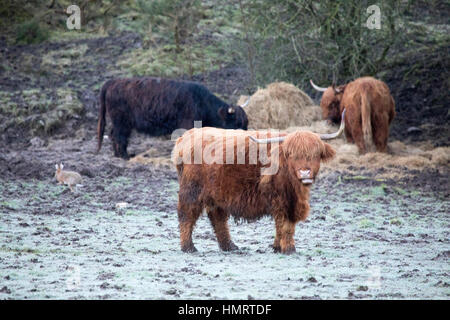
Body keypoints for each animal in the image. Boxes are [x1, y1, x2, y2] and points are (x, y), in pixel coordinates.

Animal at [97, 77, 250, 158]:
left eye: (246, 124)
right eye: (236, 123)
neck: (201, 102)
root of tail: (114, 81)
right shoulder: (187, 124)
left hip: (120, 122)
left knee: (113, 134)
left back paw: (118, 155)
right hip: (121, 122)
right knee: (119, 136)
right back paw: (125, 156)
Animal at [171, 111, 344, 254]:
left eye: (316, 154)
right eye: (291, 154)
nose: (305, 172)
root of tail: (185, 137)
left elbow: (281, 225)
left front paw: (277, 247)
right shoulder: (281, 199)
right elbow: (285, 224)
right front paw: (288, 248)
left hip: (216, 193)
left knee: (217, 217)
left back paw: (229, 246)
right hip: (191, 190)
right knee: (186, 214)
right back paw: (188, 247)